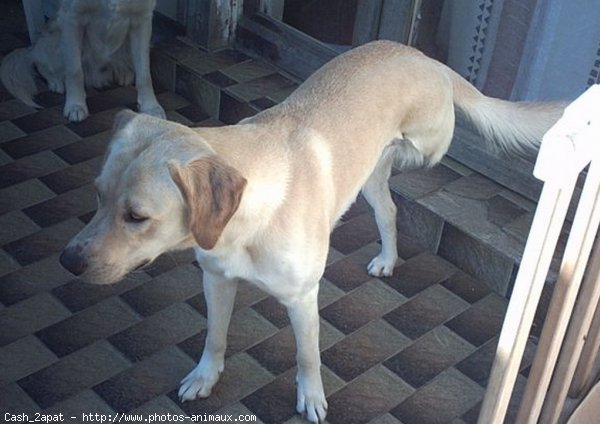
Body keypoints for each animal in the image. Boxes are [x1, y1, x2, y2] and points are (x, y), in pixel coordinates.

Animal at [0, 0, 165, 121]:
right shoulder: (72, 19)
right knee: (39, 61)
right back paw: (56, 81)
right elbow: (74, 72)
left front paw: (150, 106)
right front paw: (75, 105)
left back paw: (124, 72)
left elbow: (144, 75)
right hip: (56, 38)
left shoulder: (143, 20)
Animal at [58, 41, 564, 422]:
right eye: (98, 196)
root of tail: (424, 56)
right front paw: (205, 376)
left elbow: (307, 357)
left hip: (430, 138)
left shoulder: (303, 299)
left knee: (430, 149)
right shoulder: (216, 279)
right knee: (389, 211)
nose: (67, 261)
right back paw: (387, 256)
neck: (244, 222)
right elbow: (214, 336)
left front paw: (312, 399)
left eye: (137, 216)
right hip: (370, 181)